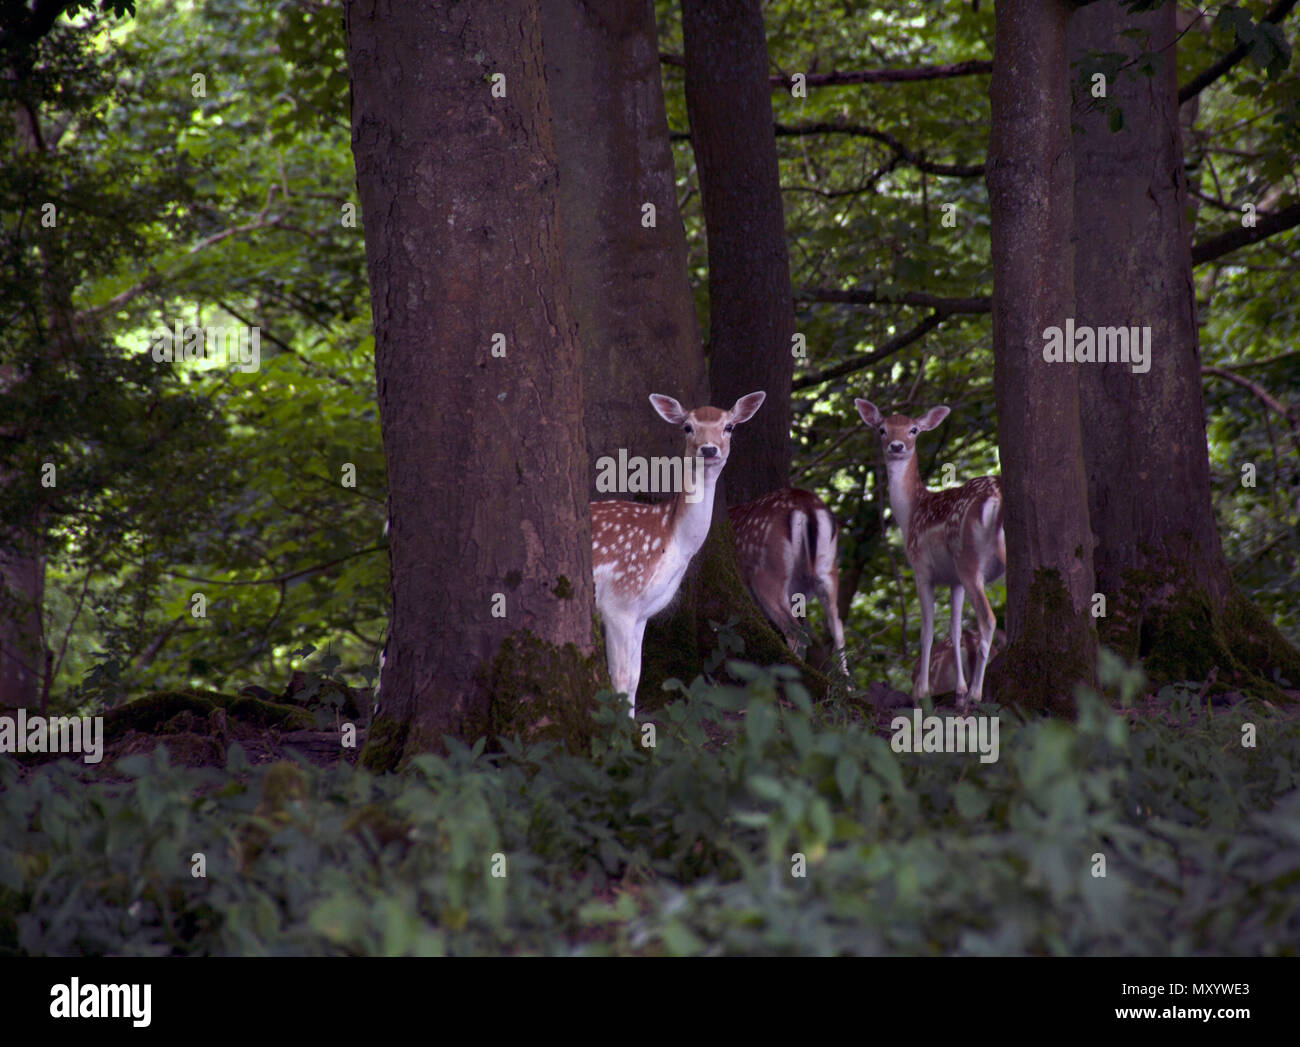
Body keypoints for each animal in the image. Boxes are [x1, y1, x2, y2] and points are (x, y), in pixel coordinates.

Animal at [595, 387, 764, 712]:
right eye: (687, 426)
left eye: (729, 426)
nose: (709, 449)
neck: (670, 539)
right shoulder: (619, 601)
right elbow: (619, 678)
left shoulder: (642, 612)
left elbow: (635, 677)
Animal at [857, 397, 1008, 702]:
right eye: (882, 429)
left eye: (913, 430)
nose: (897, 446)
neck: (911, 514)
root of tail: (995, 498)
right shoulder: (953, 580)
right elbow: (953, 626)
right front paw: (958, 688)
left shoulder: (922, 569)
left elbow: (926, 630)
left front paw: (923, 691)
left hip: (968, 557)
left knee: (988, 619)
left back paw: (976, 692)